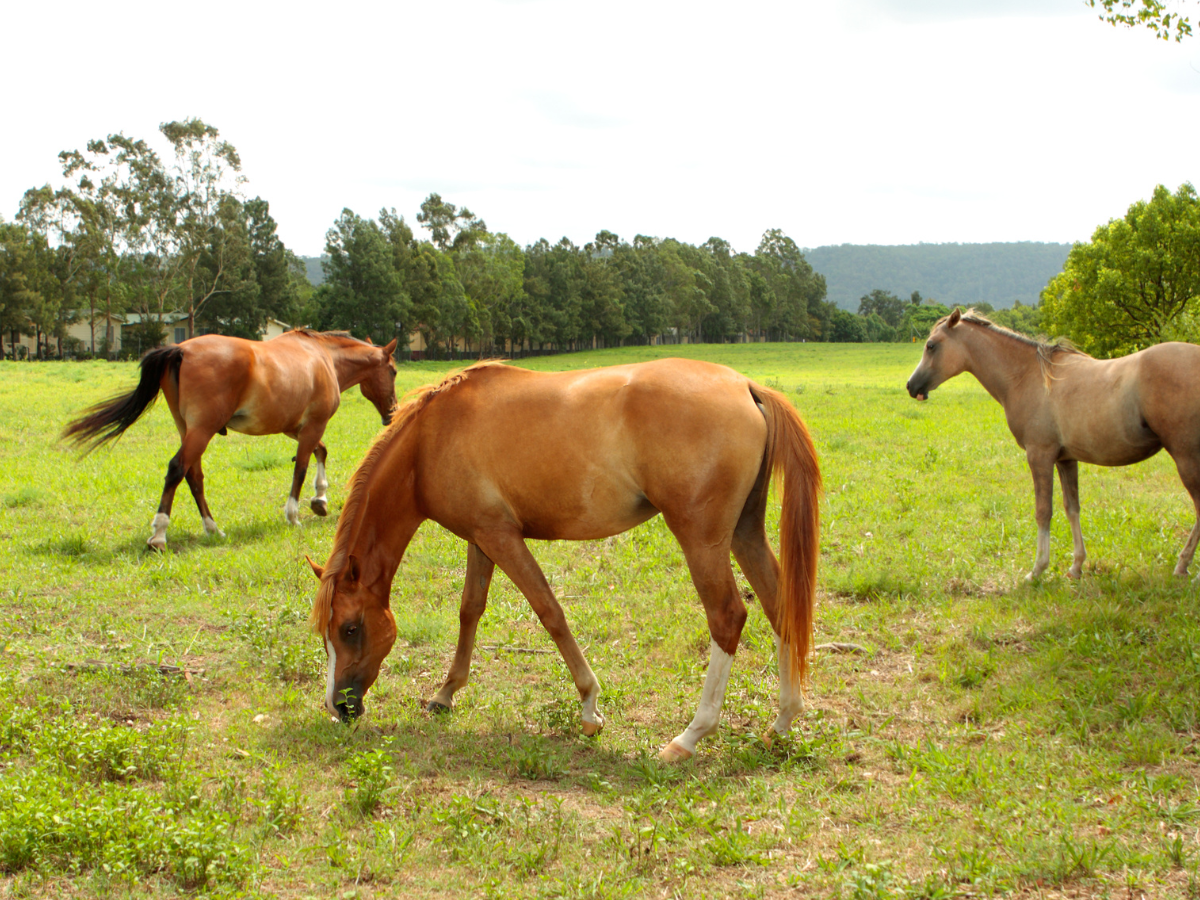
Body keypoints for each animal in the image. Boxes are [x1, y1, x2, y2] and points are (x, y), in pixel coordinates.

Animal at [64, 329, 398, 550]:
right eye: (393, 371)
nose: (392, 413)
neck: (323, 357)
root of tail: (180, 350)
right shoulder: (313, 425)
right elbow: (301, 467)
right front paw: (294, 515)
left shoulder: (296, 427)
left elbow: (321, 453)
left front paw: (320, 500)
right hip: (202, 430)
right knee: (177, 469)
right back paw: (159, 533)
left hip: (188, 430)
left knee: (193, 476)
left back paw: (213, 528)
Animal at [306, 358, 821, 761]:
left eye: (350, 628)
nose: (338, 707)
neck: (431, 439)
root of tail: (746, 386)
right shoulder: (480, 538)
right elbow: (470, 611)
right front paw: (445, 694)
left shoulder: (502, 537)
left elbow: (549, 611)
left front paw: (590, 708)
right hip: (744, 532)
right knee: (780, 607)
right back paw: (782, 722)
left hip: (702, 540)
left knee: (728, 617)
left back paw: (690, 736)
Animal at [906, 307, 1200, 581]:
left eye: (931, 345)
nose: (911, 386)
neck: (1027, 377)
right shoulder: (1065, 459)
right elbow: (1072, 509)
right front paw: (1076, 566)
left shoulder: (1040, 455)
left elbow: (1043, 511)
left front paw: (1037, 570)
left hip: (1186, 458)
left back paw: (1182, 566)